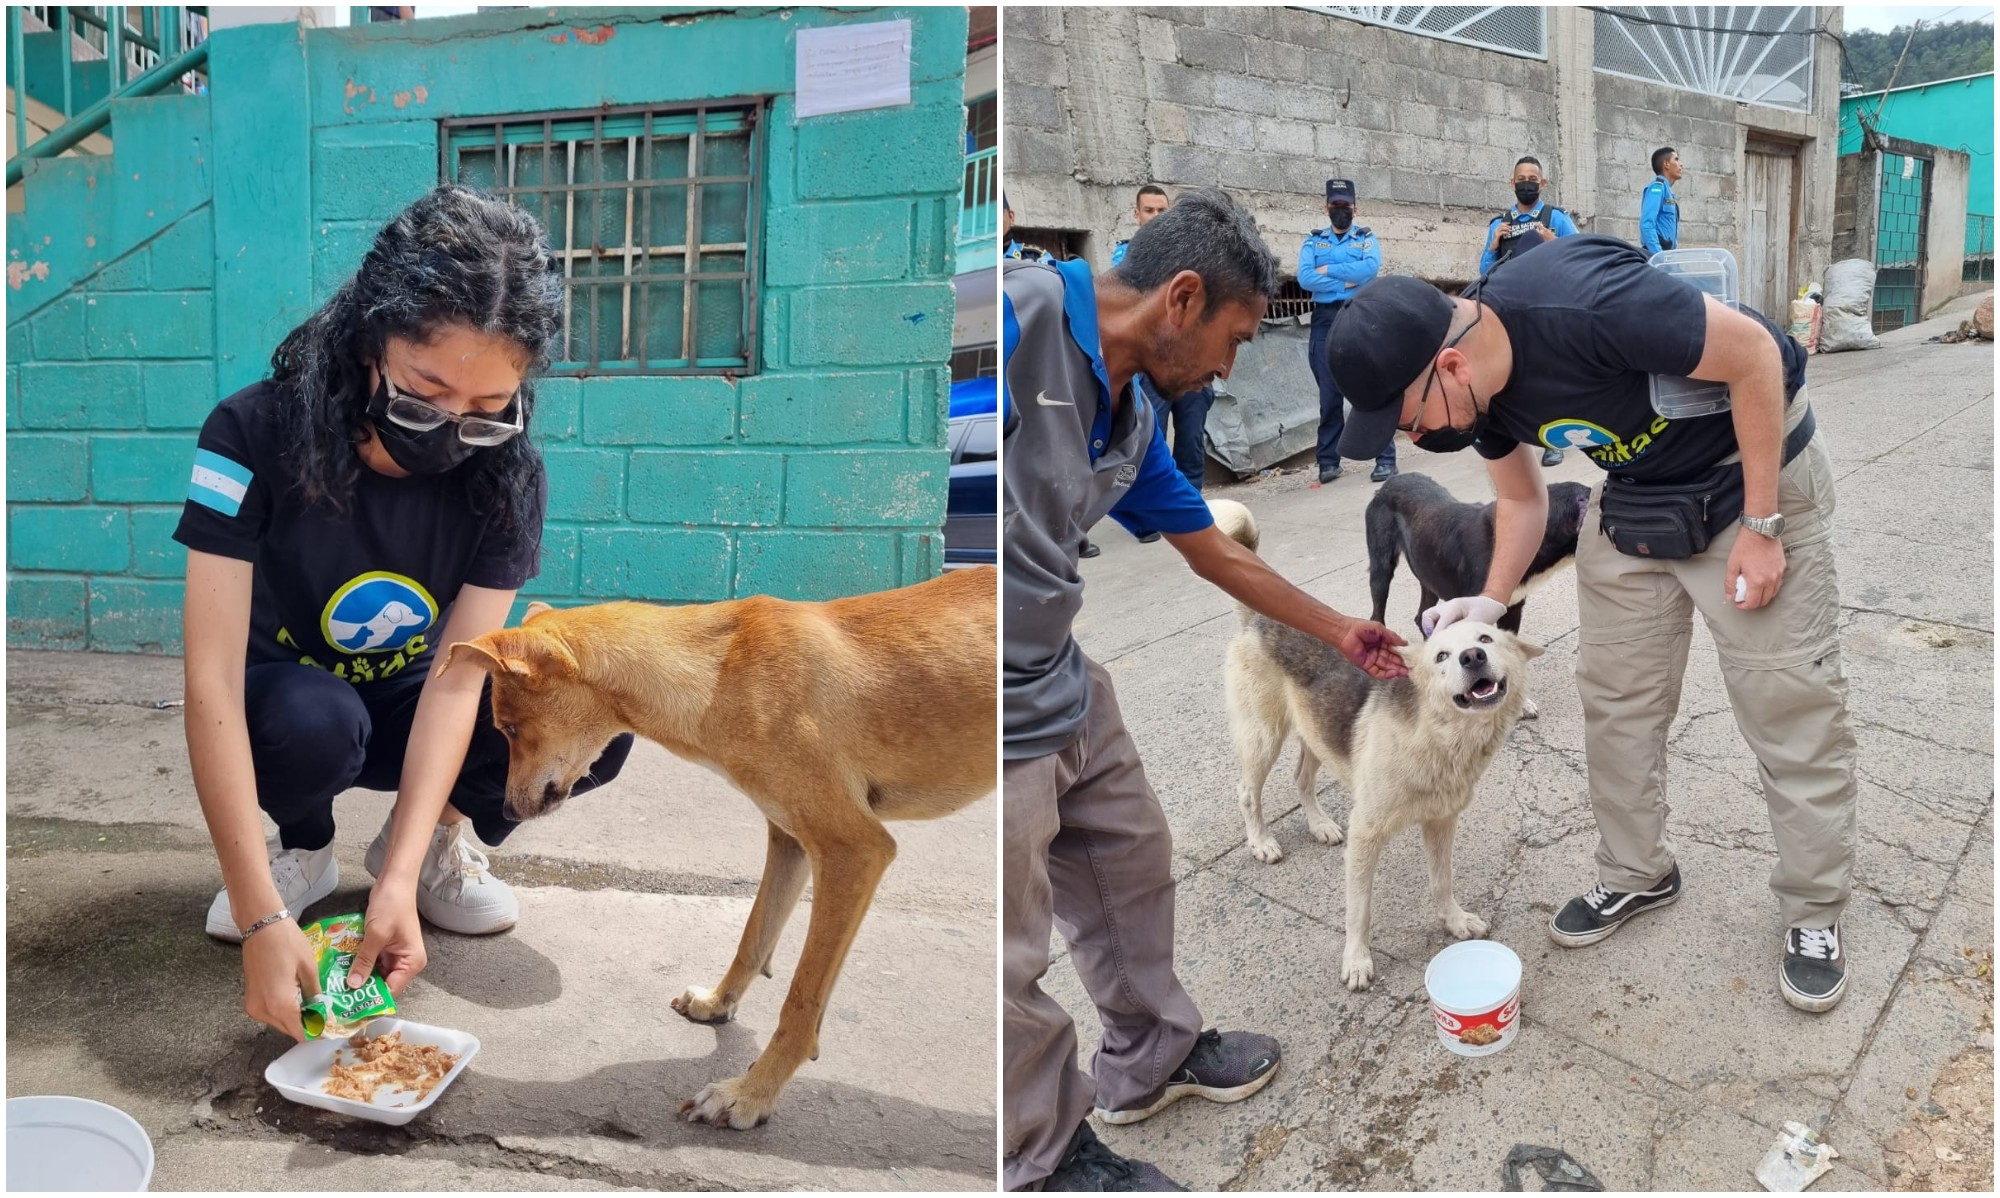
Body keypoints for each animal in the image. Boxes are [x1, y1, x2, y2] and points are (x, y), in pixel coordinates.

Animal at [442, 568, 996, 1128]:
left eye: (510, 728)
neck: (720, 672)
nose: (506, 811)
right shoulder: (790, 839)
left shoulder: (854, 849)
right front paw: (717, 1002)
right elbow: (754, 936)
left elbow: (801, 1000)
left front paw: (749, 1094)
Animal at [1208, 500, 1536, 992]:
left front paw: (1454, 921)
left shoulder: (1440, 823)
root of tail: (1260, 618)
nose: (1472, 657)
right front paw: (1357, 960)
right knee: (1248, 792)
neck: (1437, 739)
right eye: (1440, 656)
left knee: (1301, 780)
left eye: (1486, 638)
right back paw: (1261, 841)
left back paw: (1320, 825)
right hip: (1263, 735)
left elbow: (1442, 881)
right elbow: (1359, 911)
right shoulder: (1366, 834)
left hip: (1315, 734)